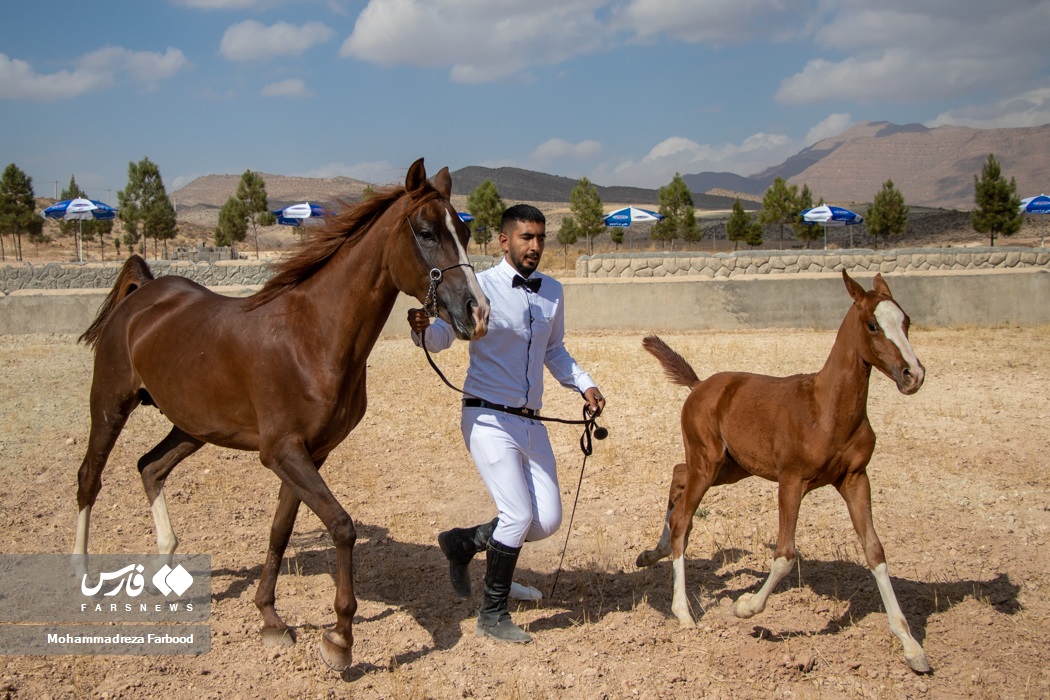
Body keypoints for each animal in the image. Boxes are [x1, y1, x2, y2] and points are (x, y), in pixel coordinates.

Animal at [74, 160, 491, 671]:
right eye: (428, 232)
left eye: (466, 233)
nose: (478, 312)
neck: (312, 337)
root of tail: (145, 294)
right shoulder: (282, 452)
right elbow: (342, 526)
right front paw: (340, 639)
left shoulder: (311, 453)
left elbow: (280, 529)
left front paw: (270, 618)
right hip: (110, 405)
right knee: (90, 478)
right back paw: (83, 575)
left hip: (192, 426)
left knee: (149, 467)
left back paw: (166, 567)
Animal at [634, 272, 932, 671]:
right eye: (873, 325)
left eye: (906, 321)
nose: (913, 375)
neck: (826, 411)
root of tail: (699, 385)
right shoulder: (792, 480)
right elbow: (785, 555)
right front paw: (745, 607)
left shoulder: (855, 479)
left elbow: (875, 551)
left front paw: (911, 645)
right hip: (709, 462)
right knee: (684, 518)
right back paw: (682, 611)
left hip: (729, 467)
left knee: (678, 475)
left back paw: (652, 554)